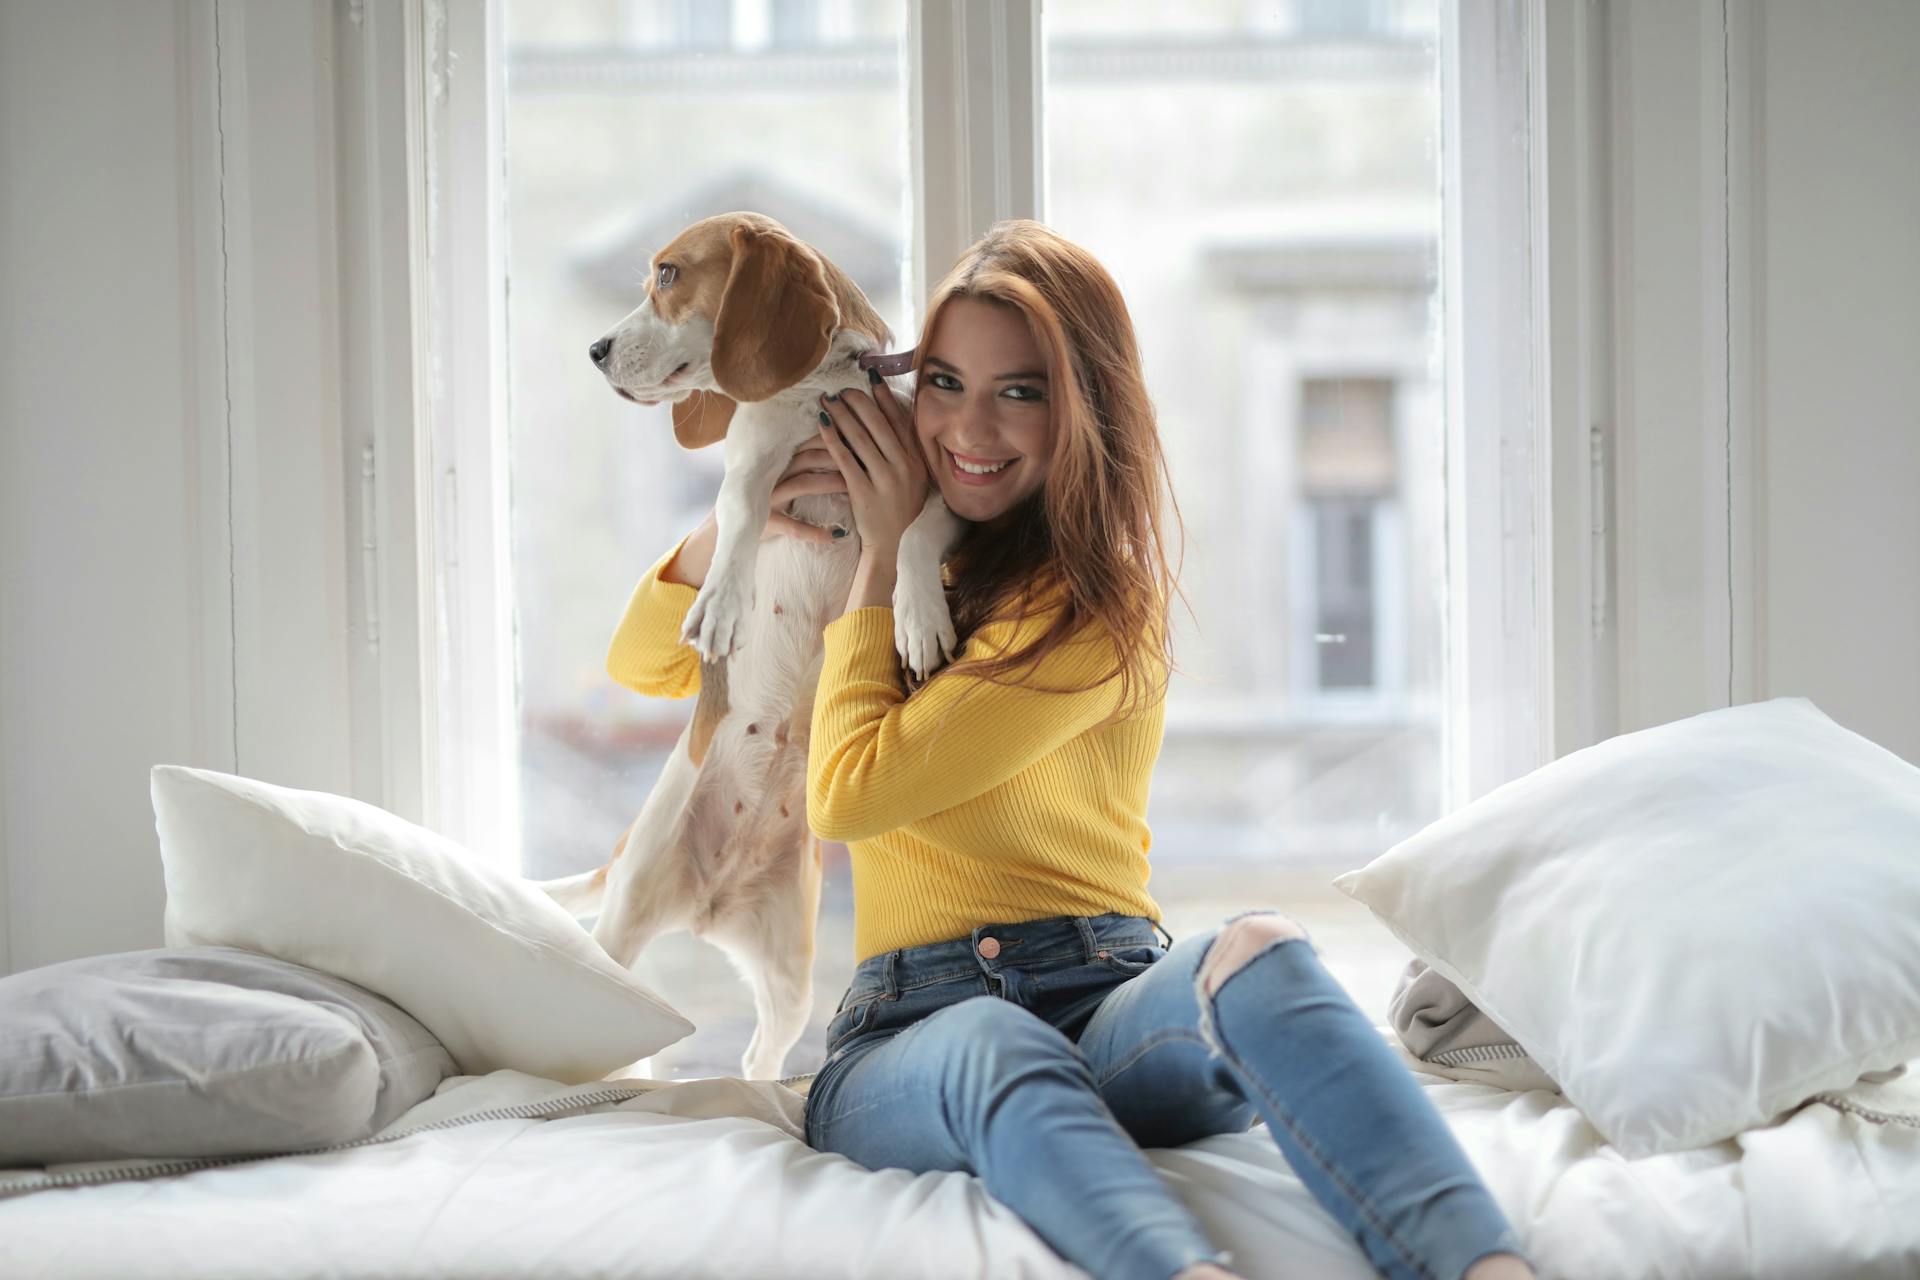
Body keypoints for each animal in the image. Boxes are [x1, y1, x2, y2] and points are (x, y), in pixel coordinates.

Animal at [541, 213, 960, 1082]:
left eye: (668, 274)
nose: (595, 349)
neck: (820, 392)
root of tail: (708, 906)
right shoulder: (754, 461)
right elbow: (738, 514)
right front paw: (722, 603)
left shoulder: (937, 490)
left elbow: (915, 537)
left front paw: (916, 613)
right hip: (625, 921)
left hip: (790, 971)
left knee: (757, 1060)